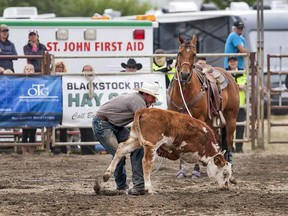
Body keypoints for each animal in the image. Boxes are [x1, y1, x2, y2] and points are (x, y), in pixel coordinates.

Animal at [103, 108, 232, 194]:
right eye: (225, 173)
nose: (226, 188)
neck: (204, 140)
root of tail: (144, 110)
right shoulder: (182, 149)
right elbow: (175, 156)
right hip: (152, 144)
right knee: (146, 162)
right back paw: (149, 188)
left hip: (136, 139)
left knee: (121, 148)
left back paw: (107, 174)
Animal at [166, 33, 238, 179]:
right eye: (179, 52)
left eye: (194, 54)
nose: (184, 74)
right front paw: (181, 171)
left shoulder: (198, 119)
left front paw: (195, 171)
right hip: (211, 121)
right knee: (217, 139)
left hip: (231, 117)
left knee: (229, 141)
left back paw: (230, 166)